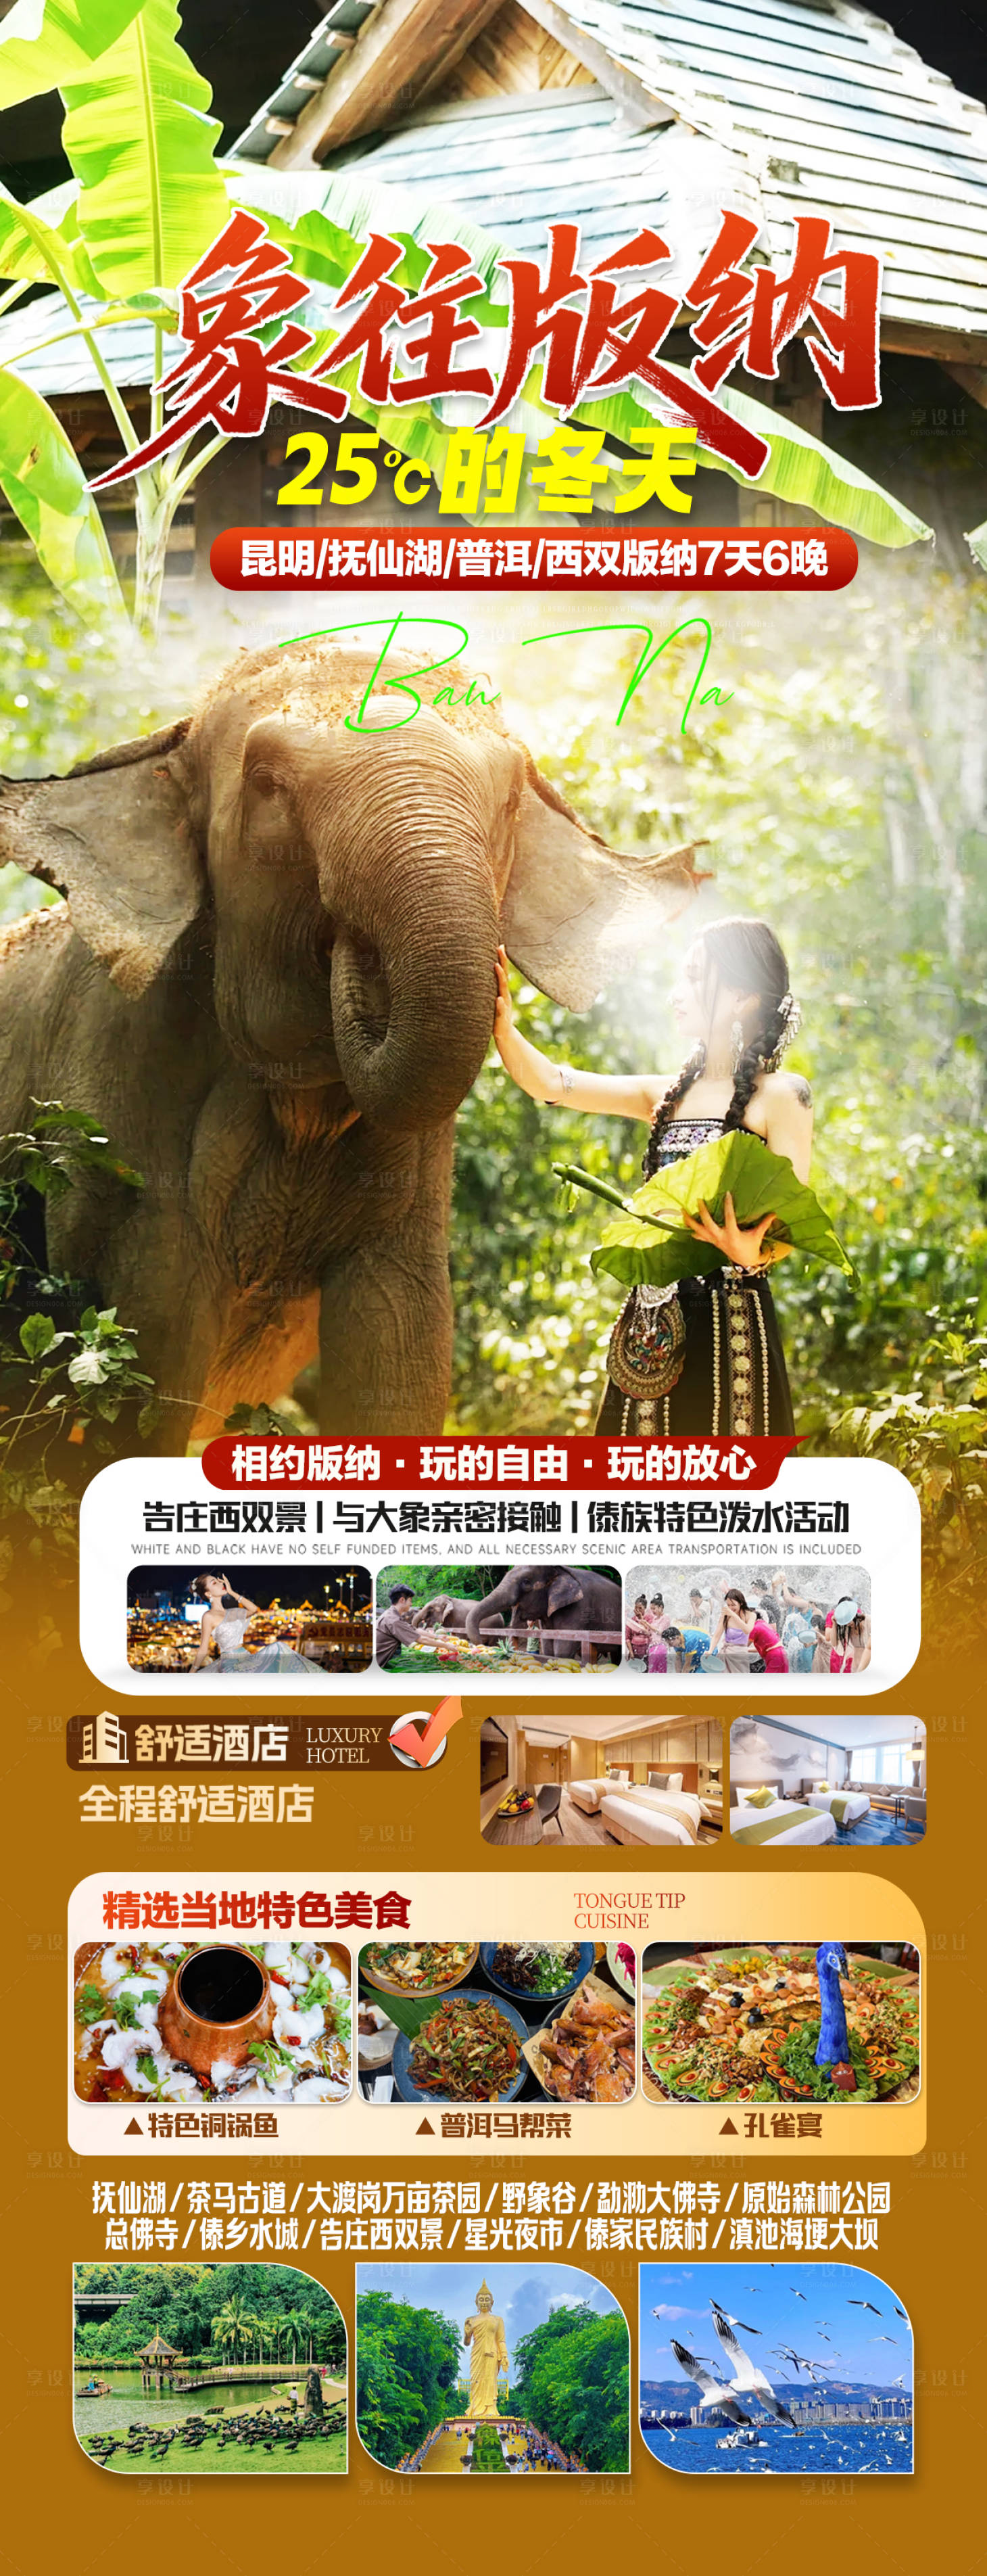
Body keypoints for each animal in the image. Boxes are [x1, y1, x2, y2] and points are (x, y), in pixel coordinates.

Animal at [0, 639, 700, 1444]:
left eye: (508, 802)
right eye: (267, 782)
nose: (352, 951)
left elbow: (397, 1350)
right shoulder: (112, 1116)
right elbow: (147, 1357)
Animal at [464, 1563, 622, 1662]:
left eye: (526, 1582)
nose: (482, 1646)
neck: (560, 1570)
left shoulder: (578, 1607)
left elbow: (563, 1647)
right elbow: (547, 1645)